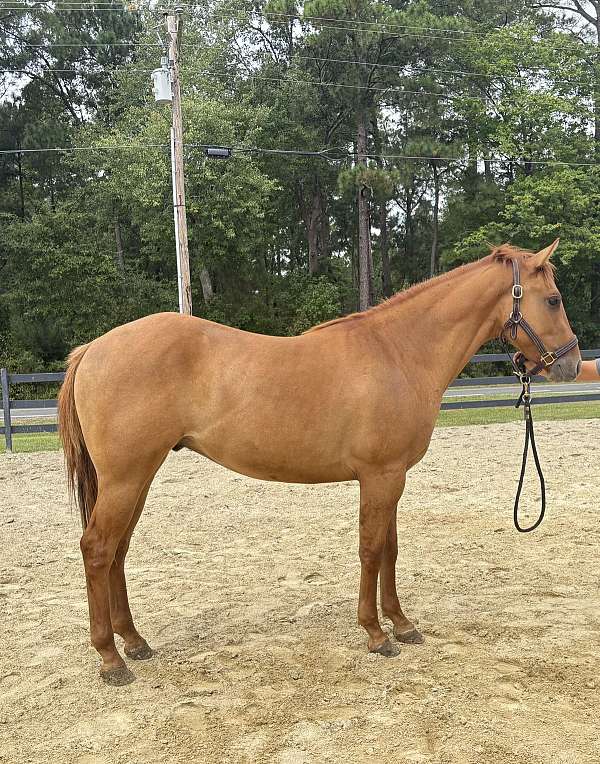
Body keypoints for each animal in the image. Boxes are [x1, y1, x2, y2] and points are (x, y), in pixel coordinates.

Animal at [58, 241, 580, 685]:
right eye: (554, 299)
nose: (571, 364)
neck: (400, 352)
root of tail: (93, 349)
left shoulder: (392, 477)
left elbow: (390, 549)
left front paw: (402, 624)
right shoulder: (380, 476)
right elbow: (371, 549)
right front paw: (376, 634)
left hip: (137, 478)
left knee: (118, 551)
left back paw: (134, 641)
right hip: (126, 479)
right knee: (97, 549)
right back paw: (110, 658)